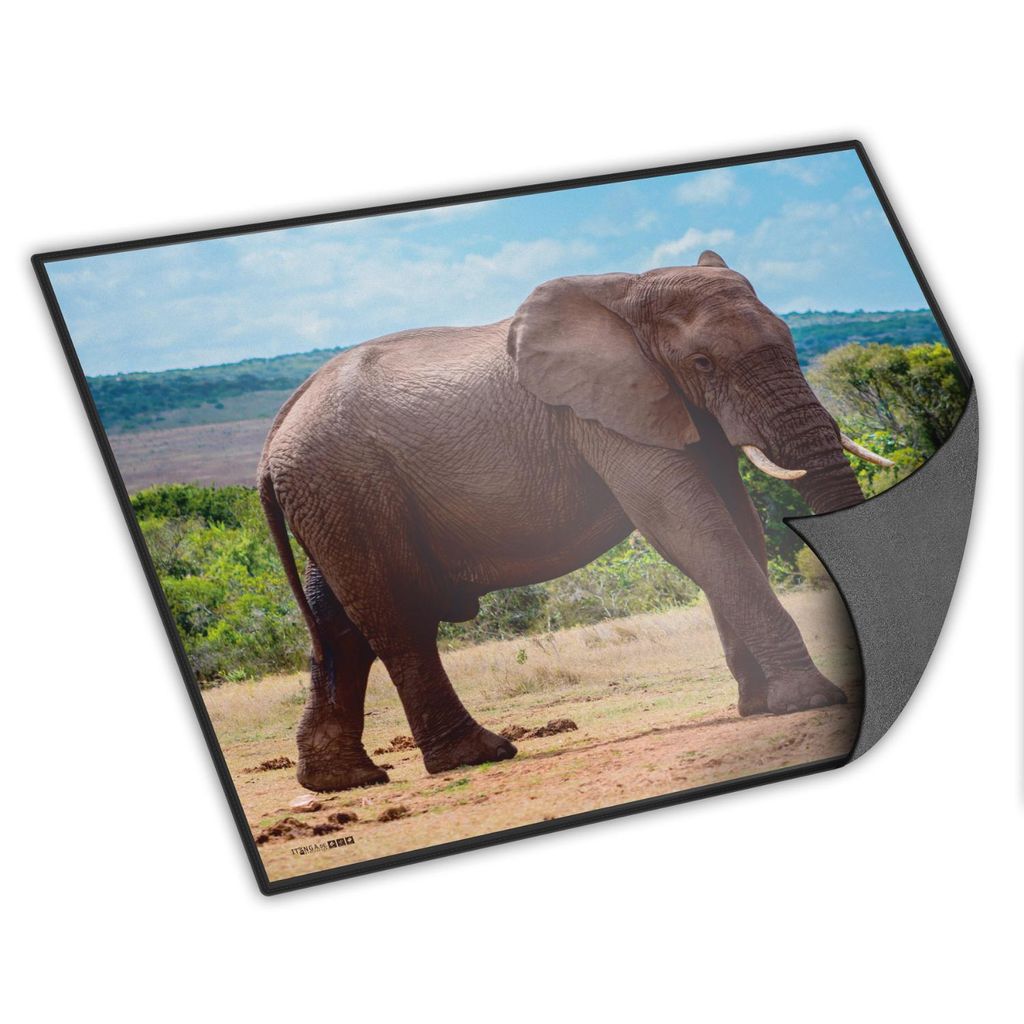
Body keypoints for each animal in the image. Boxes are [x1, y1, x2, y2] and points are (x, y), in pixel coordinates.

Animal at [258, 250, 891, 792]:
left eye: (790, 339)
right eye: (702, 362)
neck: (634, 290)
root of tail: (272, 438)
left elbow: (736, 524)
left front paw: (758, 707)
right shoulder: (599, 415)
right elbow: (688, 526)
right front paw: (810, 700)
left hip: (333, 500)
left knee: (338, 627)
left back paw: (344, 781)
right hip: (345, 485)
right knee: (399, 617)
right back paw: (478, 756)